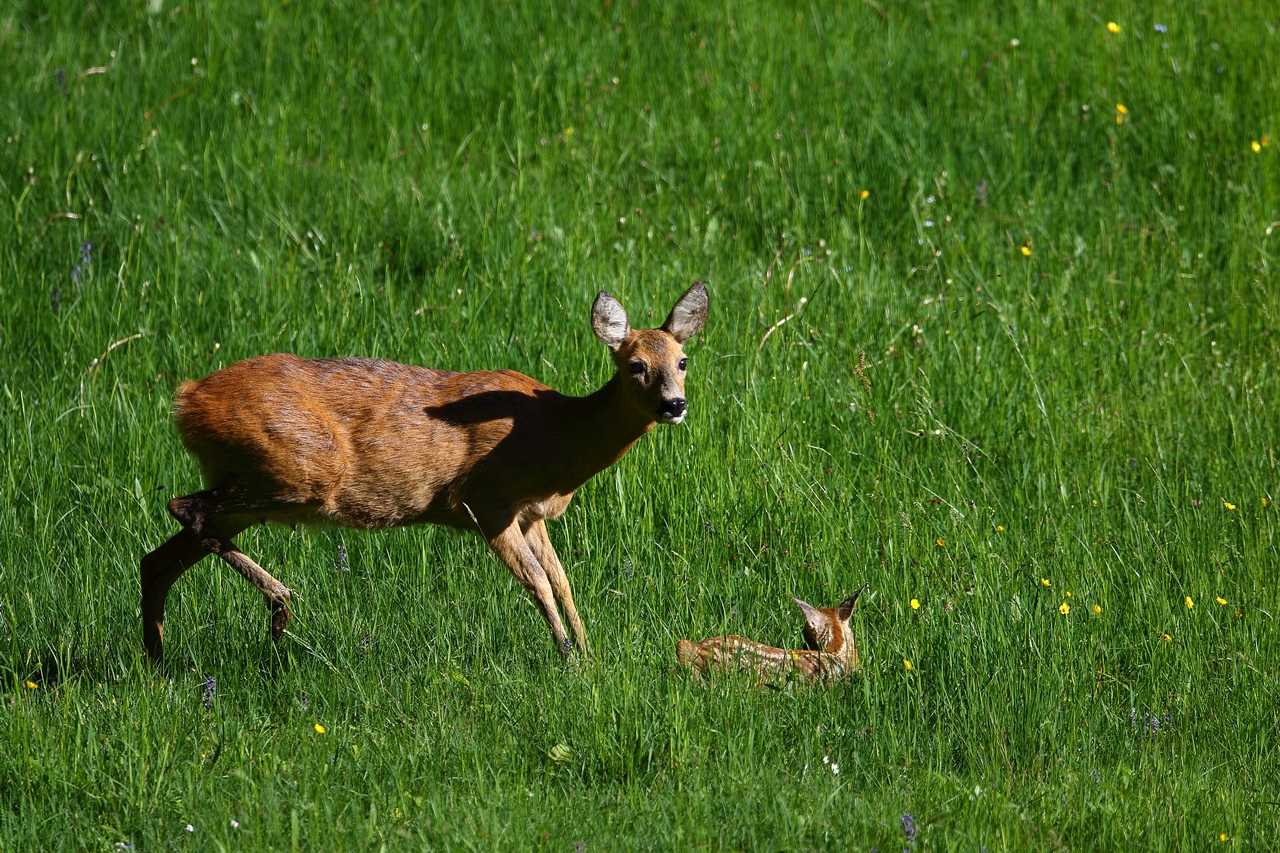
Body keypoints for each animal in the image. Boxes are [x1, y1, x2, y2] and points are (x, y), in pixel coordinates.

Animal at [140, 281, 711, 660]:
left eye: (682, 361)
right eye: (635, 365)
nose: (675, 405)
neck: (556, 434)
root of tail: (186, 399)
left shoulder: (531, 514)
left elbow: (562, 580)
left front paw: (589, 654)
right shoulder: (486, 500)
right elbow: (537, 583)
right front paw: (568, 661)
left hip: (253, 483)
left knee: (158, 558)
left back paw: (159, 662)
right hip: (296, 472)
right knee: (182, 507)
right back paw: (279, 605)